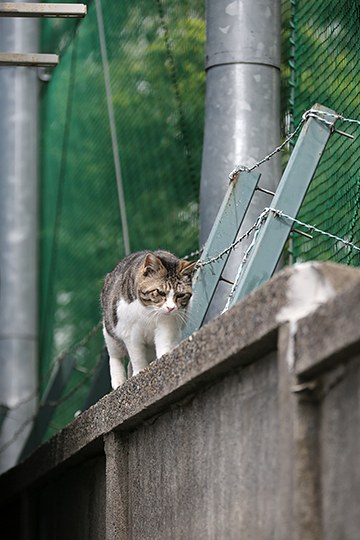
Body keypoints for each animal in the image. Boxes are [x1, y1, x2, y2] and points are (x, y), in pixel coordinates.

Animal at [100, 249, 195, 388]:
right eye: (160, 292)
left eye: (180, 295)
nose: (171, 308)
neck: (148, 311)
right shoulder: (130, 332)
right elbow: (136, 356)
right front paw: (139, 372)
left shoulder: (167, 323)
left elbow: (164, 341)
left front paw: (163, 359)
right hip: (110, 333)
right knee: (115, 356)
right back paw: (118, 381)